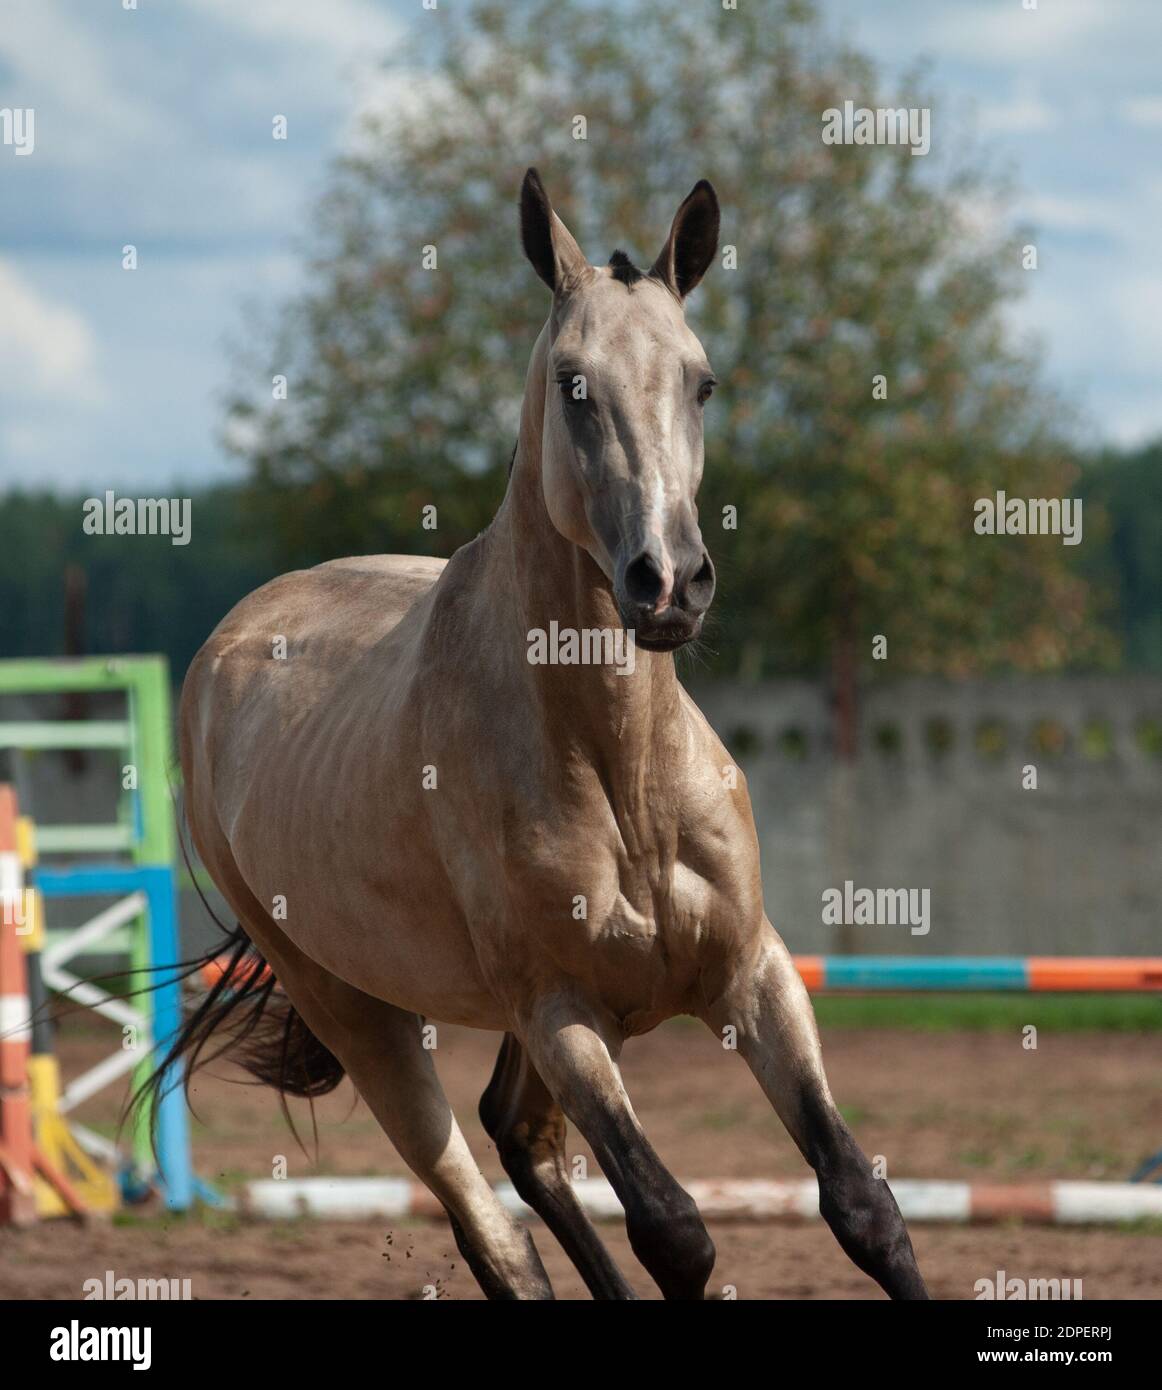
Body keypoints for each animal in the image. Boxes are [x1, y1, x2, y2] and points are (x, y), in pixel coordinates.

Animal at [168, 169, 928, 1301]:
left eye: (703, 383)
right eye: (574, 384)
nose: (669, 581)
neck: (625, 778)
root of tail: (228, 644)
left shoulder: (752, 977)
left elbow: (863, 1208)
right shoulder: (559, 1015)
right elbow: (674, 1230)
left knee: (518, 1140)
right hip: (362, 1015)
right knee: (489, 1223)